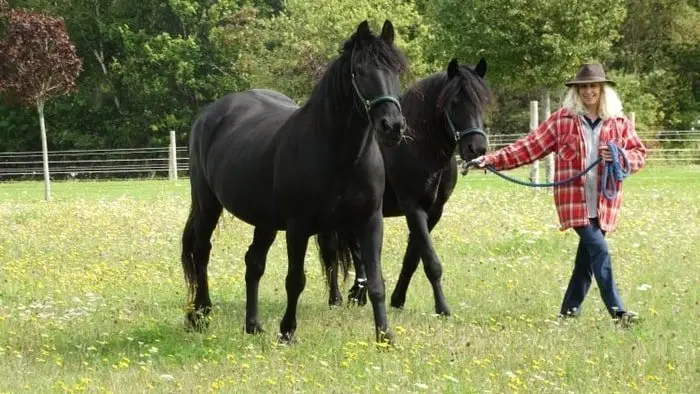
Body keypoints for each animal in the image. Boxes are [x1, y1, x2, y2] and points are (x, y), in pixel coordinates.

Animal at [183, 20, 408, 344]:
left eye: (397, 69)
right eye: (360, 70)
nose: (392, 126)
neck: (340, 154)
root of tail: (210, 114)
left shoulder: (369, 221)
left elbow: (376, 281)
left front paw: (385, 336)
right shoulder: (298, 226)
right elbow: (295, 280)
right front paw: (287, 332)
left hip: (264, 221)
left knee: (253, 263)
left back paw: (252, 324)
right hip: (207, 205)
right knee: (202, 253)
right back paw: (200, 315)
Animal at [318, 57, 492, 318]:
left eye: (483, 101)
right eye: (454, 102)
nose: (477, 148)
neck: (417, 148)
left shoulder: (433, 212)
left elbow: (413, 257)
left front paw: (398, 299)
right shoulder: (413, 208)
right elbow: (431, 261)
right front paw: (442, 308)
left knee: (355, 250)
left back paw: (358, 294)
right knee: (329, 250)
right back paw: (336, 299)